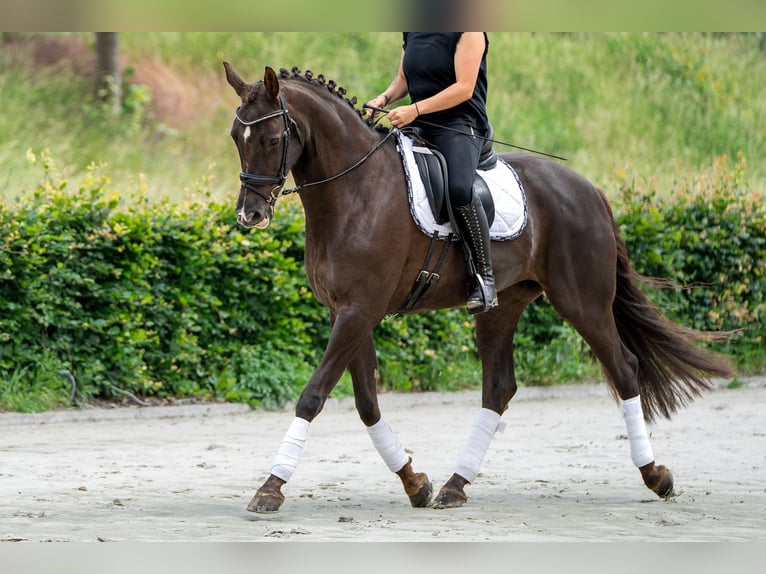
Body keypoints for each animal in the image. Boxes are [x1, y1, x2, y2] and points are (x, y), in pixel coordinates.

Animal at [222, 63, 733, 514]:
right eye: (234, 138)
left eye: (272, 139)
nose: (250, 215)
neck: (355, 189)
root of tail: (590, 189)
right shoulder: (347, 311)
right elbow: (366, 402)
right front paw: (415, 483)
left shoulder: (359, 310)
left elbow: (314, 394)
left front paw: (270, 487)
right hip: (501, 307)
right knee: (499, 388)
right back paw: (454, 485)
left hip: (583, 302)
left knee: (623, 368)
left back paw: (656, 475)